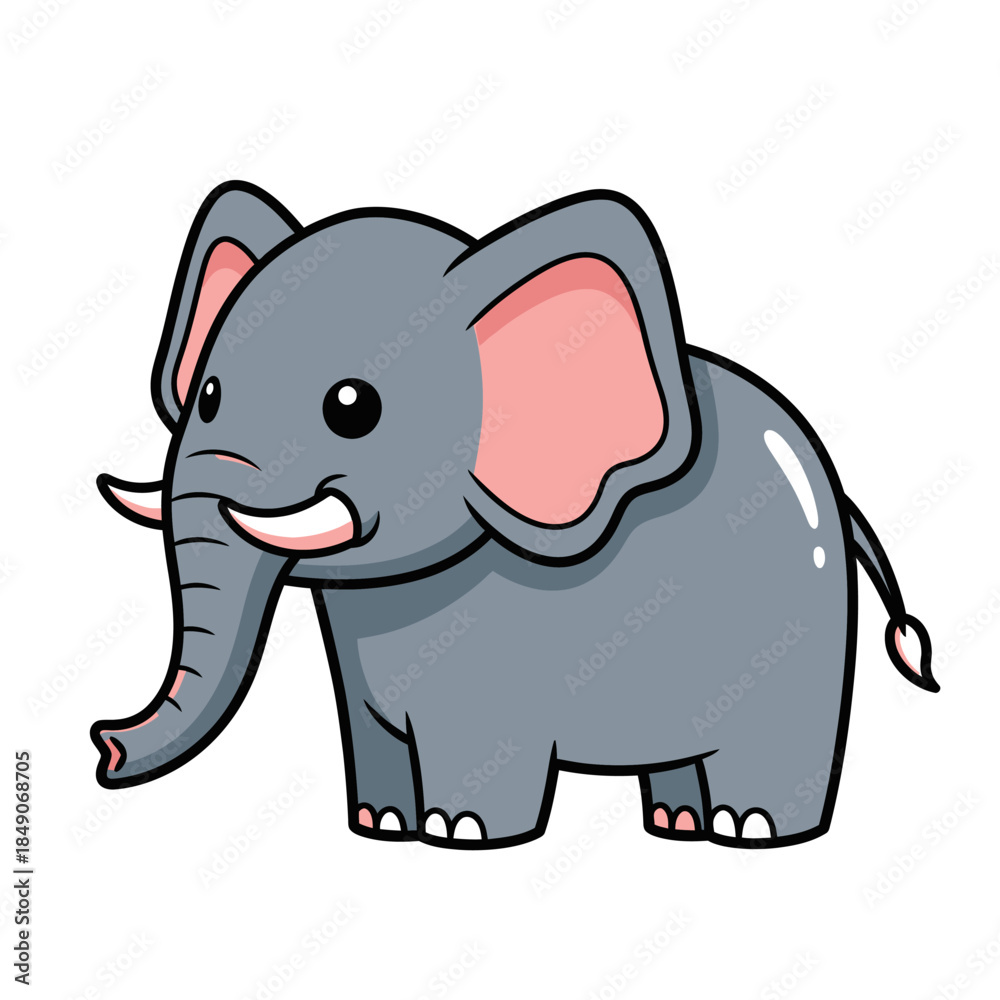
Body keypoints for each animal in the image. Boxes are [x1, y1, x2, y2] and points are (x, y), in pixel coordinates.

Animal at [91, 181, 938, 849]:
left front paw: (459, 836)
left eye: (352, 408)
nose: (103, 748)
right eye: (206, 396)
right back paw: (677, 825)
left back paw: (750, 830)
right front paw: (381, 825)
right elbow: (371, 731)